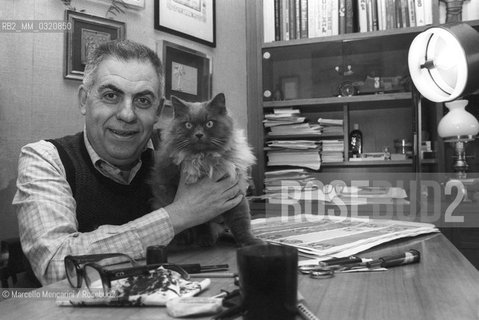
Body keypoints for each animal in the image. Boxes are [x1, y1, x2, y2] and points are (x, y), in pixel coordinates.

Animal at [151, 92, 260, 248]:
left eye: (209, 123)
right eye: (188, 125)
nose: (198, 134)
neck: (205, 159)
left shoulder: (236, 190)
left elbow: (241, 221)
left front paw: (251, 242)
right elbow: (199, 222)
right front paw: (204, 239)